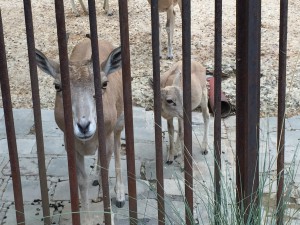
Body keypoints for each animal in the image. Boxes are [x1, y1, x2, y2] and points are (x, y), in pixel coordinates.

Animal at [35, 37, 125, 224]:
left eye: (104, 83)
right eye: (57, 86)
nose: (84, 125)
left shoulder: (107, 135)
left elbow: (106, 173)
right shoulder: (71, 144)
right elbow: (82, 181)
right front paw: (88, 219)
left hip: (119, 123)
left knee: (118, 146)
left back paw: (120, 195)